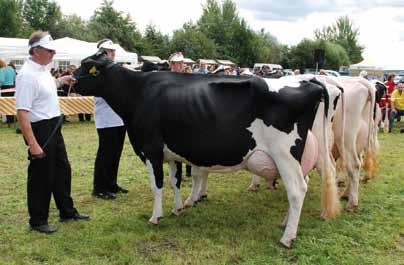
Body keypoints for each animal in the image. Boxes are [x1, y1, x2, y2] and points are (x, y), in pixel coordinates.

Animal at [72, 51, 332, 248]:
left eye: (86, 67)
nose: (71, 80)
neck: (138, 92)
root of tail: (310, 81)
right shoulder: (171, 153)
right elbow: (175, 180)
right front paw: (177, 208)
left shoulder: (151, 149)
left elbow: (157, 185)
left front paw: (156, 217)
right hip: (298, 157)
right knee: (301, 185)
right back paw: (286, 224)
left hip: (284, 154)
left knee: (296, 190)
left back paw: (287, 238)